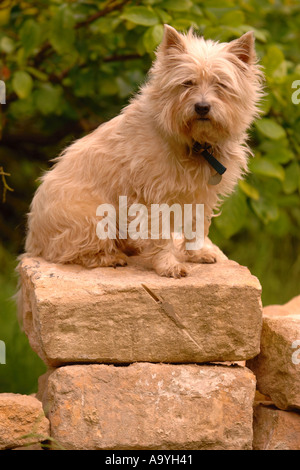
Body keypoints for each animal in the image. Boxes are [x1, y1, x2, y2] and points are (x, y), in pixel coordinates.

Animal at [23, 25, 262, 280]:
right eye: (187, 83)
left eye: (221, 85)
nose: (202, 107)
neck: (196, 144)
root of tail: (33, 242)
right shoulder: (155, 196)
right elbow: (162, 234)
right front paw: (169, 266)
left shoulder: (201, 195)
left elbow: (196, 226)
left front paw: (197, 254)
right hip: (93, 215)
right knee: (72, 251)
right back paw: (110, 257)